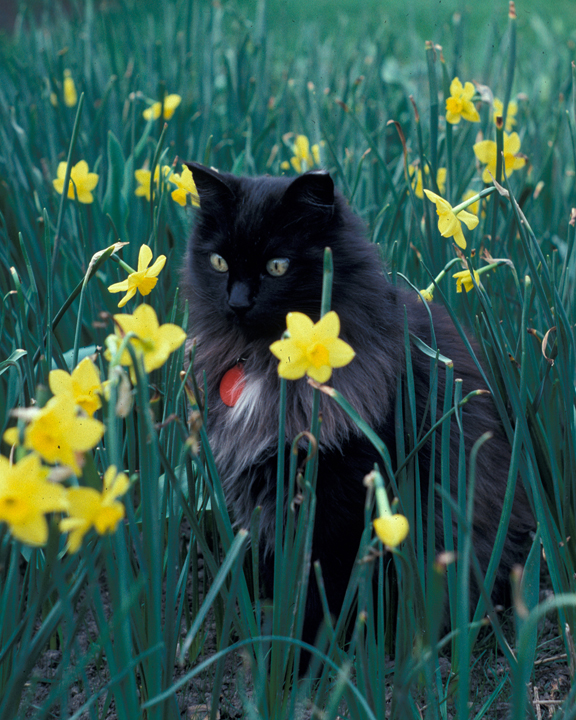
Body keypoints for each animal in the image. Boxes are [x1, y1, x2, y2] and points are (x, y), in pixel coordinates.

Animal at [181, 163, 536, 652]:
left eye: (277, 267)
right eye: (218, 262)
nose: (237, 303)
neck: (263, 362)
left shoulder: (339, 501)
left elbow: (319, 598)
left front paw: (302, 656)